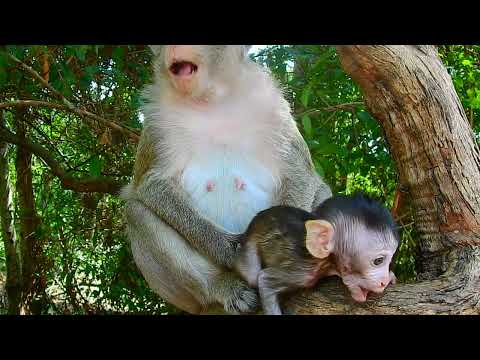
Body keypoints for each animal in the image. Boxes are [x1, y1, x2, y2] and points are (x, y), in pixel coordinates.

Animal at [122, 45, 332, 314]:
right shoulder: (158, 120)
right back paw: (223, 287)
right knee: (136, 212)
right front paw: (231, 250)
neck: (212, 99)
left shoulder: (272, 104)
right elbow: (152, 184)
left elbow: (299, 174)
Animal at [234, 193, 400, 314]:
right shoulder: (303, 272)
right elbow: (264, 280)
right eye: (378, 261)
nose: (383, 281)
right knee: (252, 275)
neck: (326, 263)